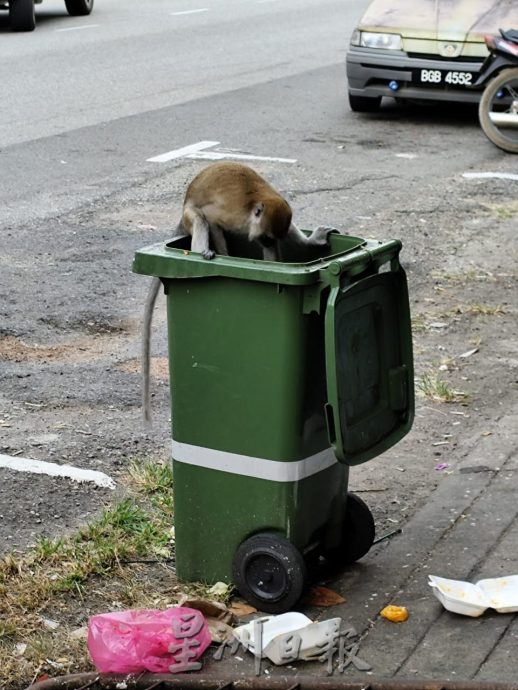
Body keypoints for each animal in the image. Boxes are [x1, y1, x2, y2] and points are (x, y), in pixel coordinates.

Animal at [142, 163, 338, 424]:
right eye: (265, 237)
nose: (266, 244)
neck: (253, 208)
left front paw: (307, 243)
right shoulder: (232, 216)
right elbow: (212, 221)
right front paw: (225, 257)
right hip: (188, 215)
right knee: (200, 219)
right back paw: (201, 252)